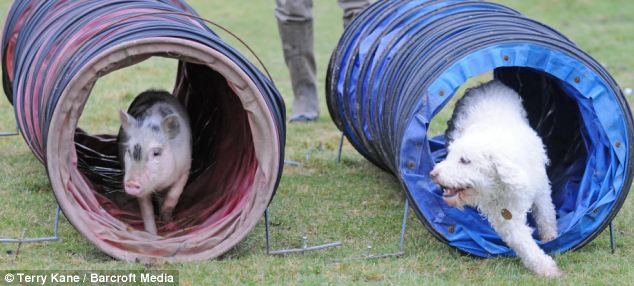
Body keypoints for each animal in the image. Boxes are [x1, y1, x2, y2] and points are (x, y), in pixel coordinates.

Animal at [116, 89, 190, 235]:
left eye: (156, 153)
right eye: (129, 151)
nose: (131, 183)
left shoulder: (185, 168)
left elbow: (174, 195)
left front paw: (166, 219)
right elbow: (146, 209)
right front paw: (152, 234)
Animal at [430, 80, 556, 278]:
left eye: (464, 160)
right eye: (450, 156)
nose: (434, 173)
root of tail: (487, 84)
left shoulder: (541, 188)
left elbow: (546, 213)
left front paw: (550, 237)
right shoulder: (505, 216)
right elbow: (522, 241)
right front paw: (544, 266)